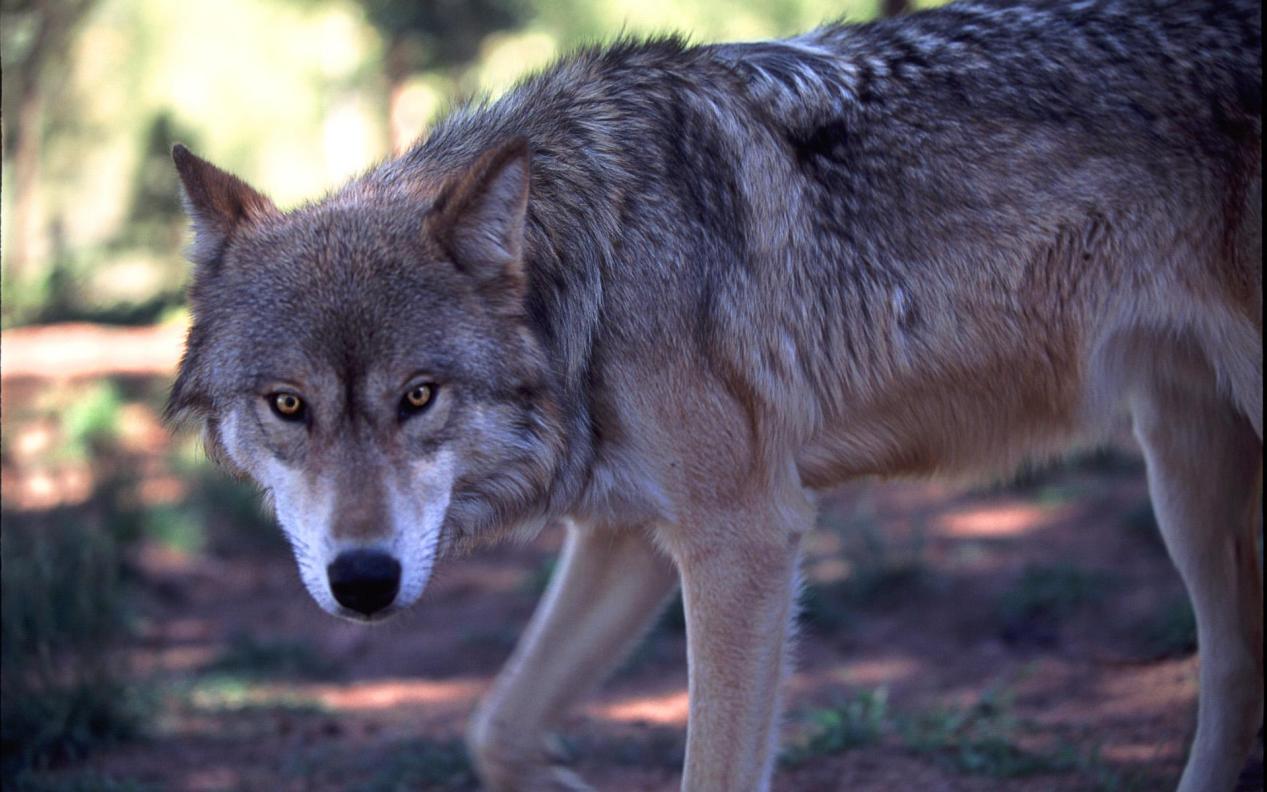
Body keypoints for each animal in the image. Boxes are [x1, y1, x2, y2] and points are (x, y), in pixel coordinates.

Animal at [165, 1, 1256, 785]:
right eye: (288, 405)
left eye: (419, 396)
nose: (364, 581)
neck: (594, 268)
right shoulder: (624, 535)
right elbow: (498, 728)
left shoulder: (743, 540)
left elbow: (711, 767)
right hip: (1184, 471)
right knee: (1235, 675)